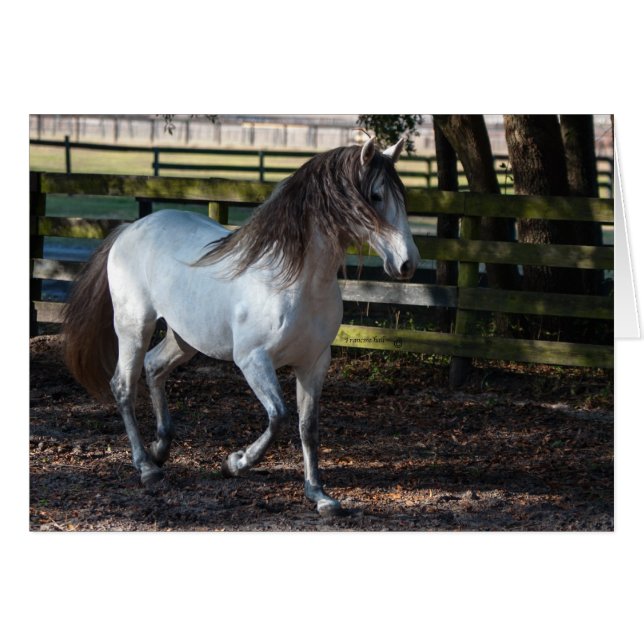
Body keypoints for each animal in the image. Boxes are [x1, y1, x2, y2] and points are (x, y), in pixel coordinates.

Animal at [63, 137, 420, 516]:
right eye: (376, 196)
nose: (407, 263)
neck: (295, 281)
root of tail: (129, 229)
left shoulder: (314, 363)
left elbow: (308, 427)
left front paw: (319, 495)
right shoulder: (252, 360)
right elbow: (278, 416)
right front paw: (234, 463)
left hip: (185, 338)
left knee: (154, 367)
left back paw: (160, 450)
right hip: (134, 326)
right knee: (123, 385)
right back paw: (146, 467)